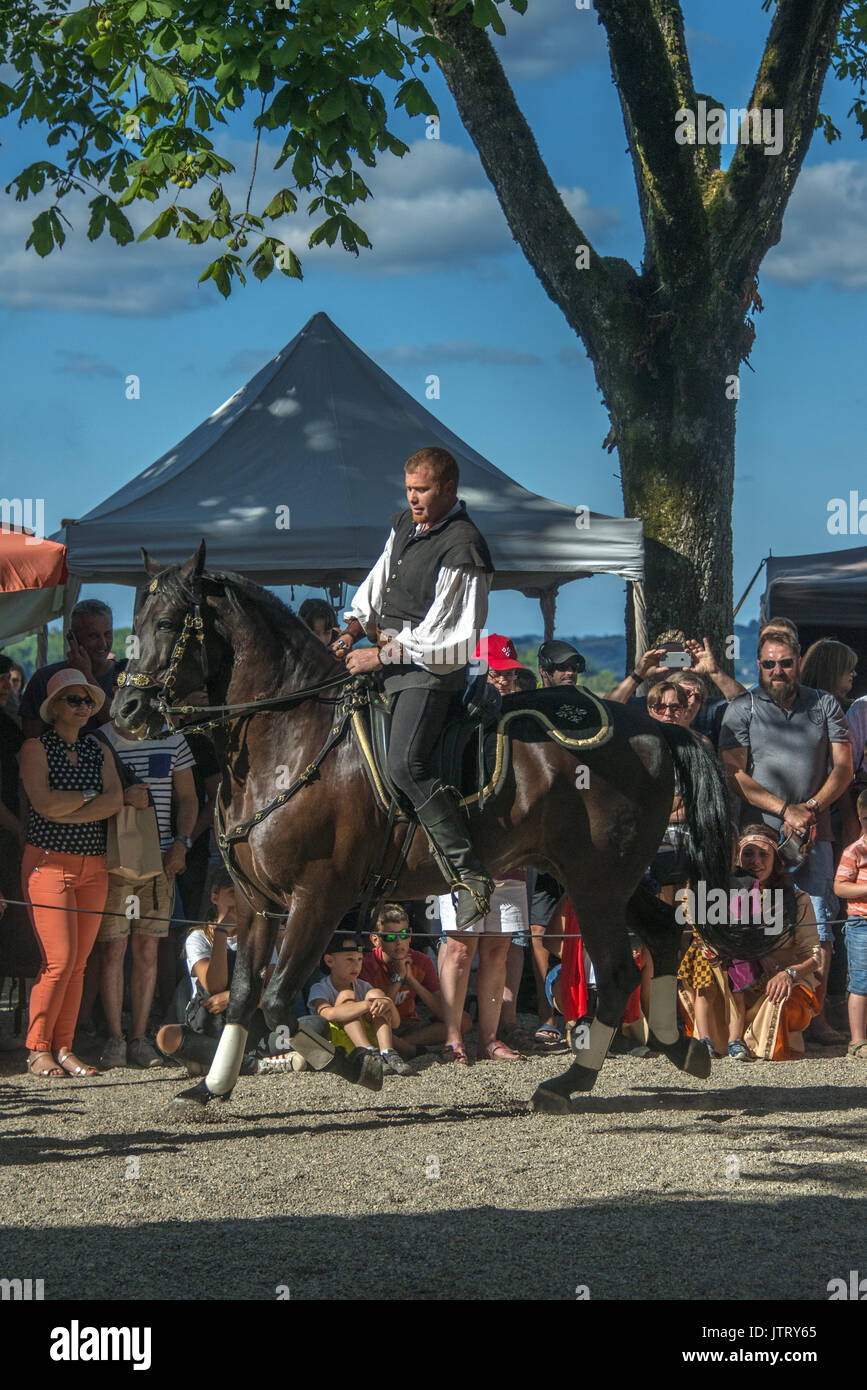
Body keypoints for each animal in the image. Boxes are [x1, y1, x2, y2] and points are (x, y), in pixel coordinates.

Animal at [112, 542, 737, 1115]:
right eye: (134, 624)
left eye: (167, 623)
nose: (125, 711)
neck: (290, 738)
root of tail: (653, 728)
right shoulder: (257, 903)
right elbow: (244, 994)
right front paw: (214, 1085)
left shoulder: (318, 896)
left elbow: (275, 999)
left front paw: (356, 1065)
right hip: (606, 879)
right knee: (661, 937)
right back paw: (678, 1047)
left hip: (597, 883)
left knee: (619, 972)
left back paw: (571, 1081)